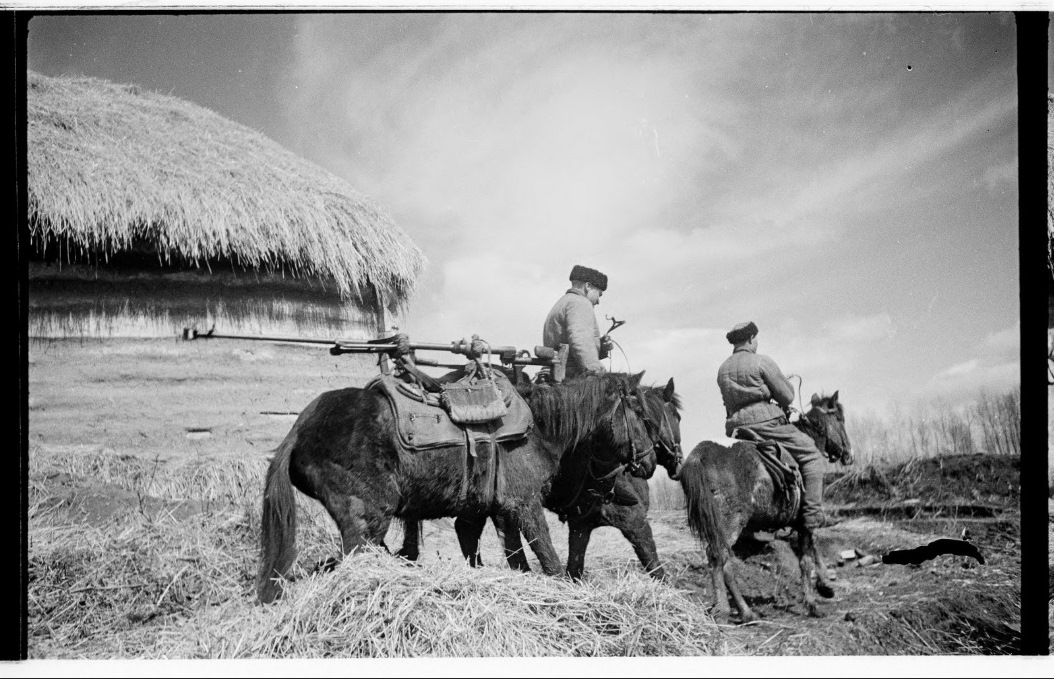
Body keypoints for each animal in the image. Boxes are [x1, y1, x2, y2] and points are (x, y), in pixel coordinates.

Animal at [255, 369, 653, 603]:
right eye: (639, 412)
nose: (648, 463)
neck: (539, 426)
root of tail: (300, 427)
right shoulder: (524, 505)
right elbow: (550, 562)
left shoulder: (490, 512)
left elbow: (509, 559)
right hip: (367, 521)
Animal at [396, 373, 682, 582]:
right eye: (645, 417)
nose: (671, 464)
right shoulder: (634, 522)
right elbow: (654, 564)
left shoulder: (581, 525)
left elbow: (574, 567)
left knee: (469, 531)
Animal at [674, 390, 855, 624]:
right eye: (840, 419)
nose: (849, 454)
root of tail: (699, 455)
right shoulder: (806, 520)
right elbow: (806, 559)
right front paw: (813, 603)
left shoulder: (802, 522)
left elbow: (813, 550)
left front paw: (826, 586)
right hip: (731, 522)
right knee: (719, 557)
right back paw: (733, 610)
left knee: (720, 559)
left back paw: (731, 609)